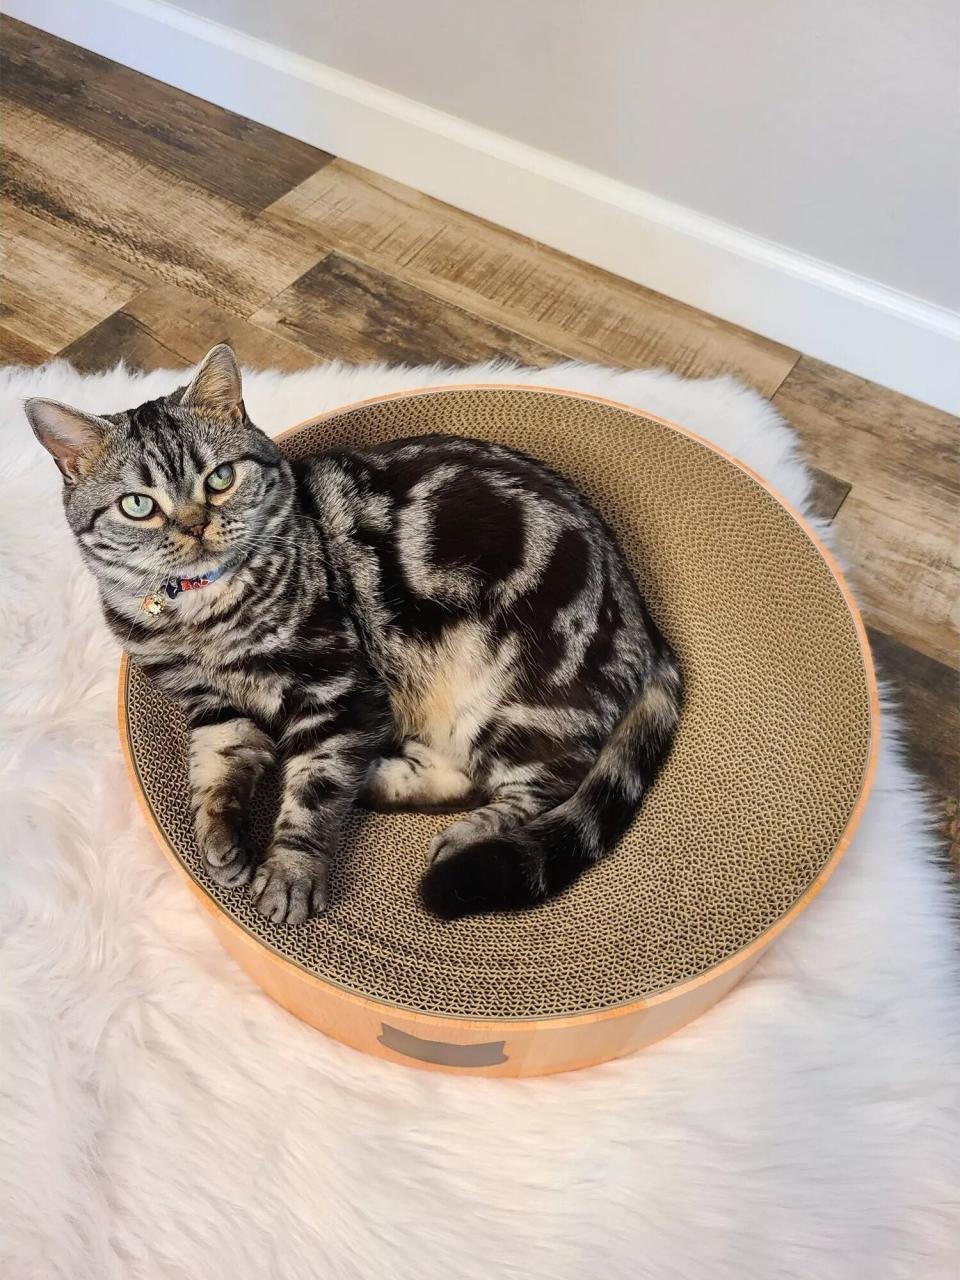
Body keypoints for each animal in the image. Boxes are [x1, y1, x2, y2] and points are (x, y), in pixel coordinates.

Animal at [26, 345, 680, 926]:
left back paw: (461, 835)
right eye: (138, 505)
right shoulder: (212, 705)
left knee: (538, 785)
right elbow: (215, 769)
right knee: (462, 773)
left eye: (220, 478)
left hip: (516, 696)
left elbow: (314, 792)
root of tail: (645, 627)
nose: (194, 525)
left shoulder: (336, 688)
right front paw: (219, 839)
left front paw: (290, 875)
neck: (203, 618)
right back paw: (377, 779)